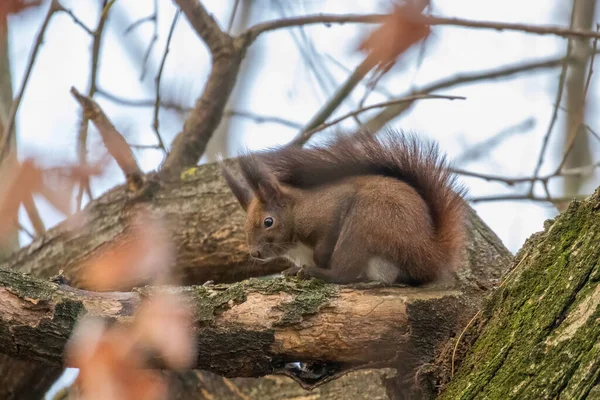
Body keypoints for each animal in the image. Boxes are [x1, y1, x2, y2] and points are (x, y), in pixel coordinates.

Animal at [218, 128, 466, 284]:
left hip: (365, 223)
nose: (255, 253)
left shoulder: (332, 207)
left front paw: (316, 263)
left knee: (344, 273)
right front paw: (293, 269)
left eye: (268, 222)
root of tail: (428, 253)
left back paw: (317, 273)